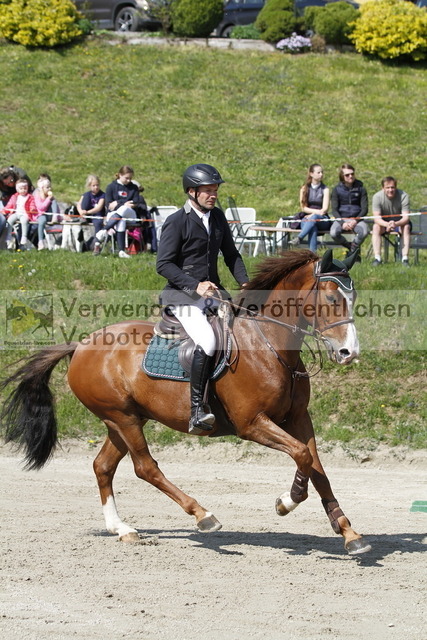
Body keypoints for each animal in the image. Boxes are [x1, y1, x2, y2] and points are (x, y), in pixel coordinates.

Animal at [0, 249, 371, 555]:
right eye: (331, 298)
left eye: (352, 297)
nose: (349, 353)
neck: (269, 344)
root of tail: (81, 345)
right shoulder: (252, 423)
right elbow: (302, 456)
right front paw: (286, 502)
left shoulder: (298, 418)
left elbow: (317, 468)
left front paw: (349, 533)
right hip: (122, 418)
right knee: (145, 467)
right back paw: (203, 515)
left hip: (123, 419)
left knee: (103, 466)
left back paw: (121, 528)